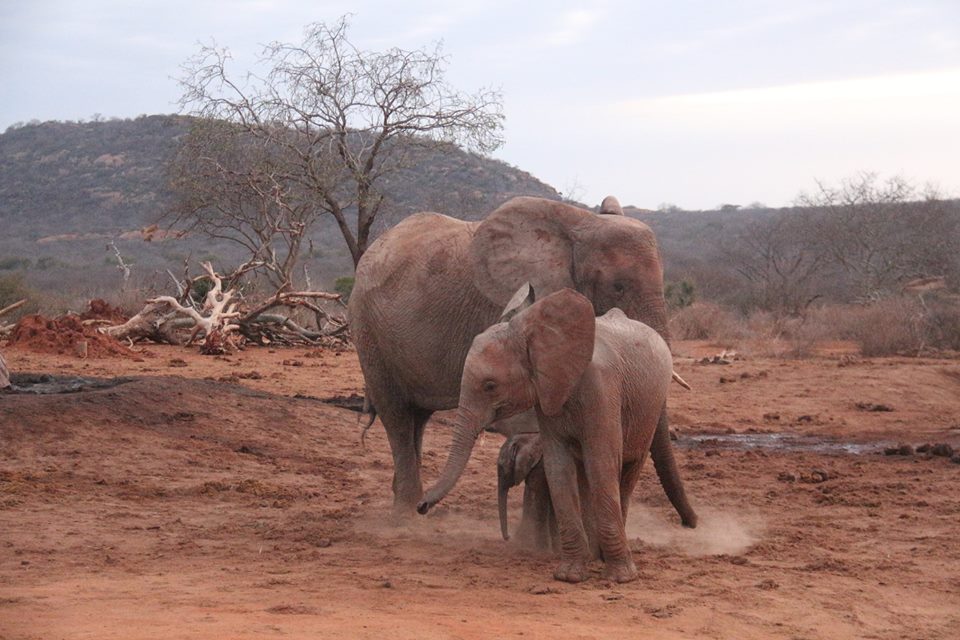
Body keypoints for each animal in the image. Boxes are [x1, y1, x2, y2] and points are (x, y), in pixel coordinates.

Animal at [349, 196, 697, 530]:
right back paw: (406, 518)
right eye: (618, 287)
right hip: (368, 331)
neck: (580, 226)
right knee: (396, 415)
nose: (689, 523)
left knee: (417, 419)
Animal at [418, 288, 682, 583]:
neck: (533, 334)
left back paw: (606, 559)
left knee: (627, 470)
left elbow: (602, 463)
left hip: (648, 411)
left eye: (490, 386)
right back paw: (593, 556)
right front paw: (569, 576)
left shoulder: (603, 391)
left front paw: (620, 578)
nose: (421, 506)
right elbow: (558, 468)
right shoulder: (548, 396)